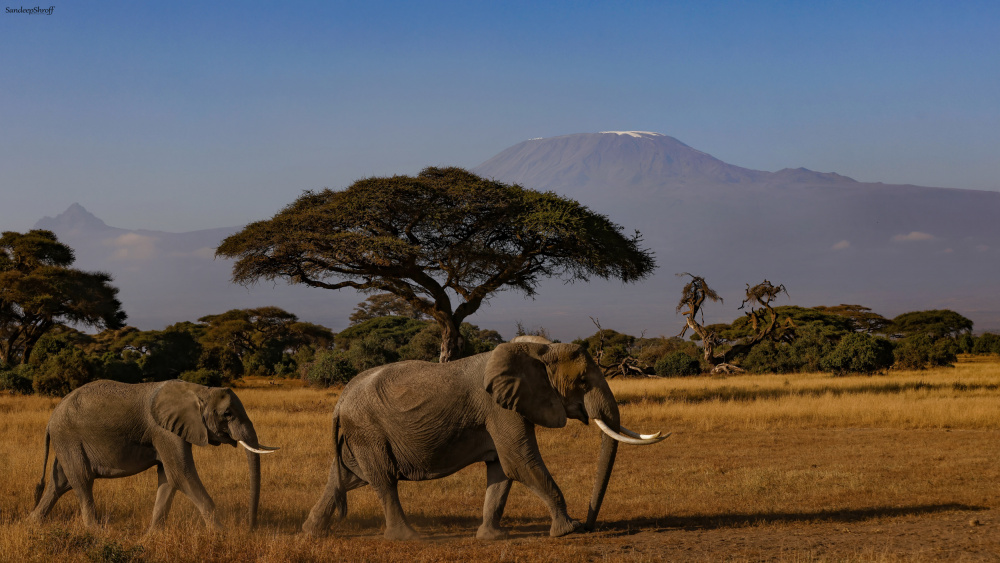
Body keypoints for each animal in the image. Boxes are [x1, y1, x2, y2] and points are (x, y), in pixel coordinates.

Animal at [27, 378, 278, 532]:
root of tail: (51, 419)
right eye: (227, 414)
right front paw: (222, 534)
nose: (250, 529)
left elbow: (168, 478)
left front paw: (151, 535)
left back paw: (31, 524)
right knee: (82, 480)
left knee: (61, 482)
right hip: (69, 437)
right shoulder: (164, 431)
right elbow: (182, 475)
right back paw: (96, 531)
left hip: (67, 441)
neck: (200, 390)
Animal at [300, 340, 668, 540]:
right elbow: (520, 462)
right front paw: (568, 530)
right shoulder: (499, 408)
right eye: (581, 381)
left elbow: (502, 470)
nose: (591, 525)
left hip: (358, 434)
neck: (537, 350)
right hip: (368, 430)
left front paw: (492, 537)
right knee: (383, 480)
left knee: (347, 478)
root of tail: (339, 402)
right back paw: (407, 537)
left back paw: (312, 532)